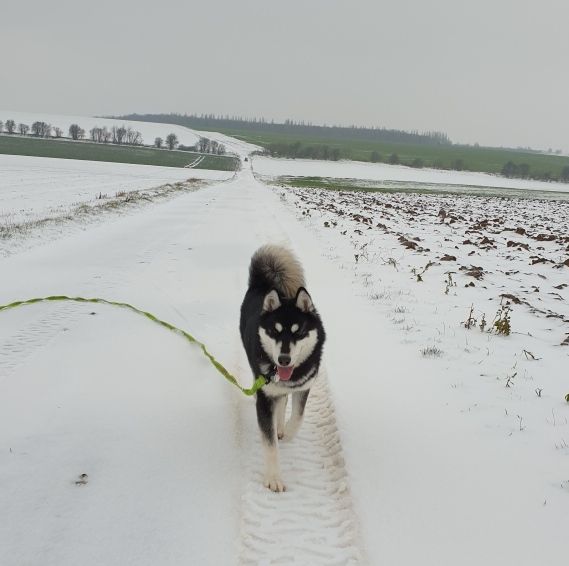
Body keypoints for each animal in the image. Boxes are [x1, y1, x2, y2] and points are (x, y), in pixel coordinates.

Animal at [239, 246, 326, 494]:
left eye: (299, 332)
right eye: (274, 331)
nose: (284, 360)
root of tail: (263, 282)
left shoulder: (304, 386)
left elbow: (298, 416)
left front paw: (286, 432)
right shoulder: (264, 396)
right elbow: (270, 445)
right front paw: (273, 478)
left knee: (284, 401)